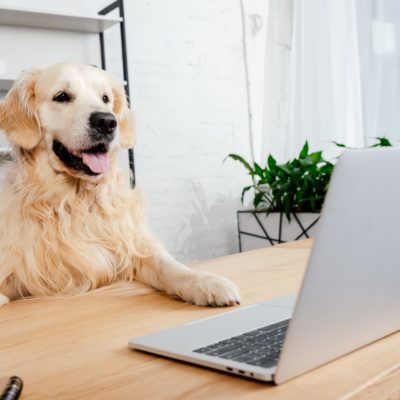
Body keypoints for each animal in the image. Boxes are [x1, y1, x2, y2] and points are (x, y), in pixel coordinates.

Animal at [0, 61, 241, 306]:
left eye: (105, 98)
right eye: (61, 96)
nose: (107, 122)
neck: (76, 199)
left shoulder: (131, 245)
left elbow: (167, 264)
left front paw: (205, 281)